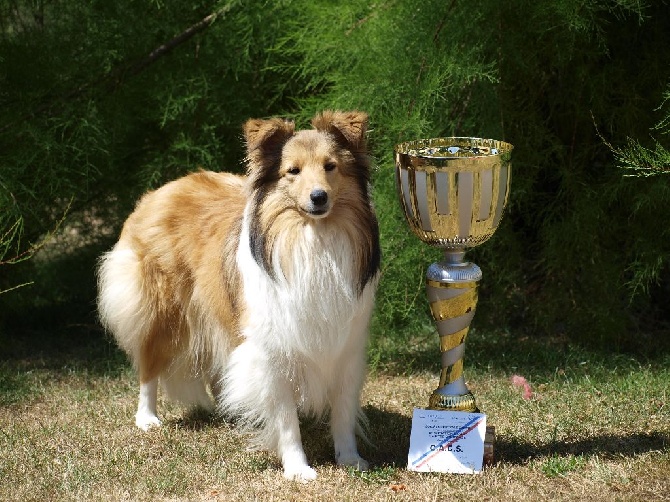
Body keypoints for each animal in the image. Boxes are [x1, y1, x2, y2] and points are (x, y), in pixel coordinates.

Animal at [99, 111, 384, 482]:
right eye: (292, 171)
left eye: (330, 166)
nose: (319, 197)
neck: (311, 237)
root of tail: (161, 189)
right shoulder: (272, 349)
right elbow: (286, 419)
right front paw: (297, 468)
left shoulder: (345, 345)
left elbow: (344, 410)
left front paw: (350, 459)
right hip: (165, 313)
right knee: (149, 365)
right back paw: (147, 418)